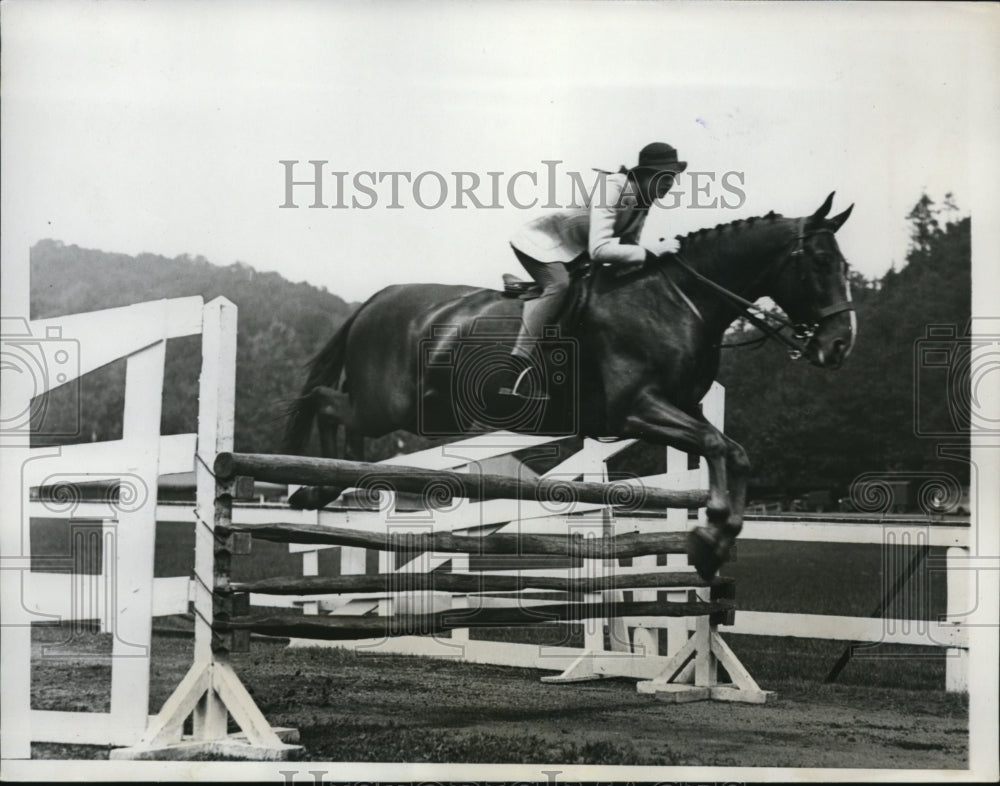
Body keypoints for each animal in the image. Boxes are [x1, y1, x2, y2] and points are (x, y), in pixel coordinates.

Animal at [280, 193, 852, 580]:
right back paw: (316, 483)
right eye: (822, 263)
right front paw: (710, 532)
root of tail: (374, 300)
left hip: (405, 408)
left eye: (846, 266)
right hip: (387, 405)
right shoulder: (636, 409)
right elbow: (715, 446)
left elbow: (734, 452)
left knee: (340, 417)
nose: (840, 345)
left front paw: (715, 538)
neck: (678, 300)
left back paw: (337, 482)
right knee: (325, 404)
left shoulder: (683, 406)